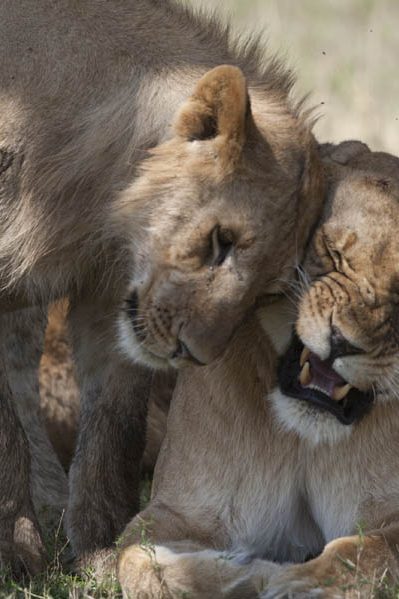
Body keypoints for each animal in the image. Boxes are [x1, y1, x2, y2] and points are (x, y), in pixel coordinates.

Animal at [0, 0, 324, 576]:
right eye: (221, 240)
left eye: (267, 292)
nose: (192, 354)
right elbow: (1, 433)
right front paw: (16, 552)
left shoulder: (108, 294)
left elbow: (113, 428)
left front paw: (102, 552)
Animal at [115, 142, 399, 599]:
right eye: (334, 253)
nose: (342, 341)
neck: (305, 437)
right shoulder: (181, 512)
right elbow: (140, 560)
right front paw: (243, 575)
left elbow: (366, 551)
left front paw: (297, 581)